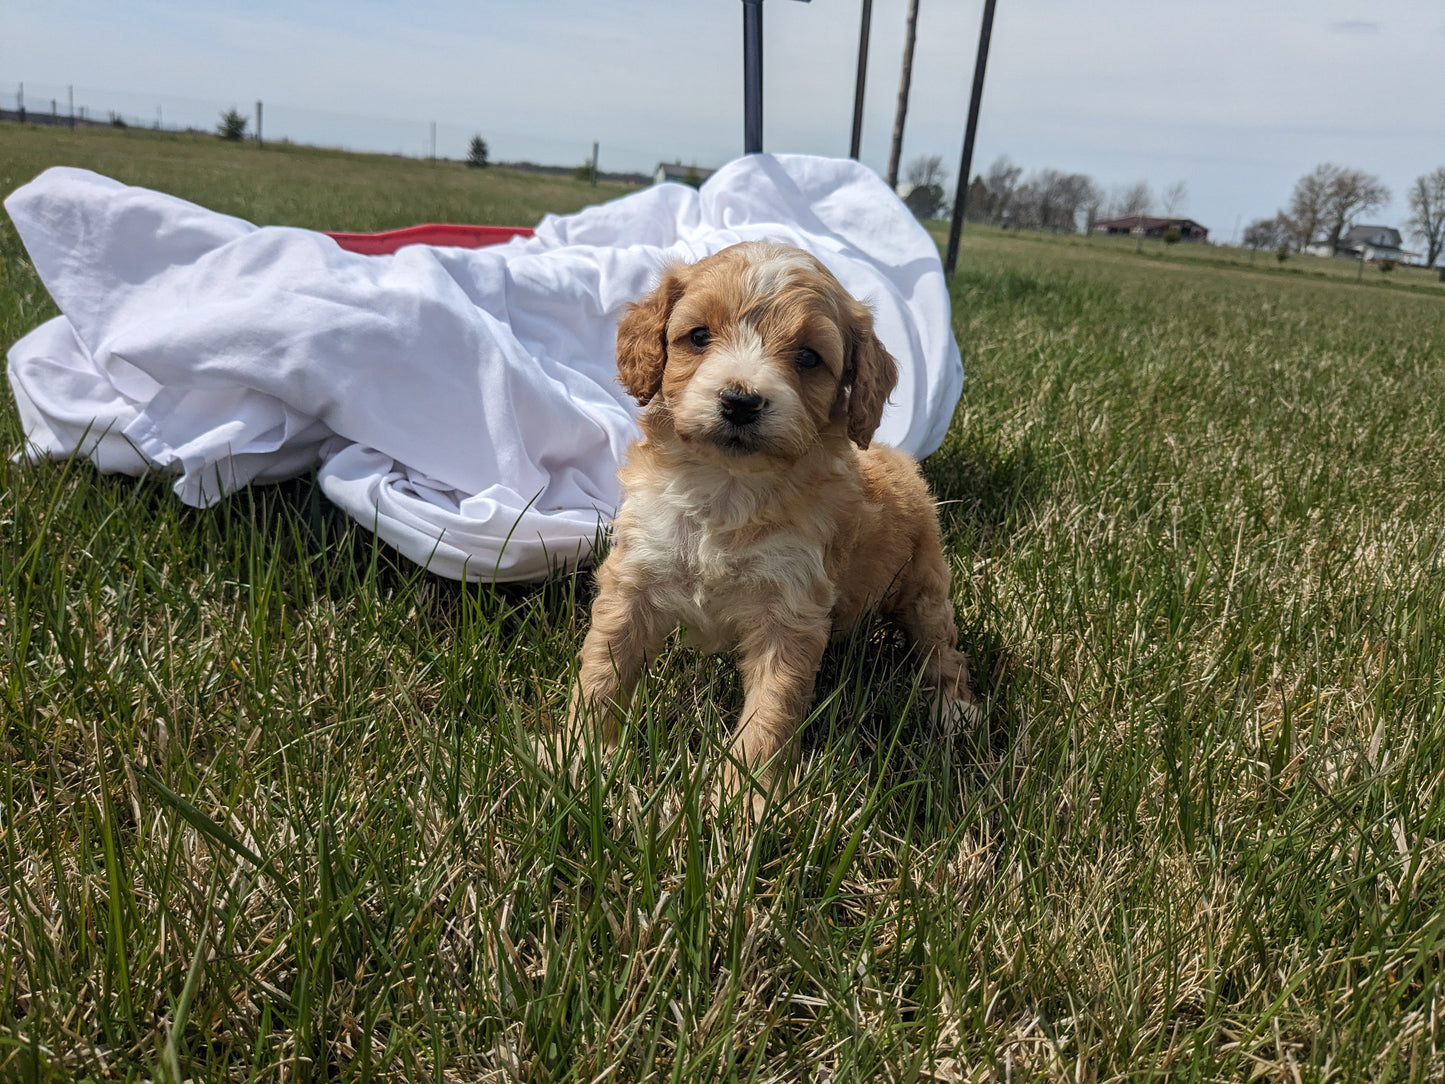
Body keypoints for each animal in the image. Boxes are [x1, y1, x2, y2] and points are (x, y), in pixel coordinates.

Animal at [566, 244, 982, 809]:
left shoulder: (790, 608)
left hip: (922, 584)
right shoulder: (635, 576)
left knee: (939, 644)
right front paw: (578, 760)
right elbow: (604, 670)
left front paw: (744, 801)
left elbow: (772, 707)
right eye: (698, 336)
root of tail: (900, 460)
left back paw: (954, 710)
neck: (727, 489)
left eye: (808, 357)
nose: (740, 401)